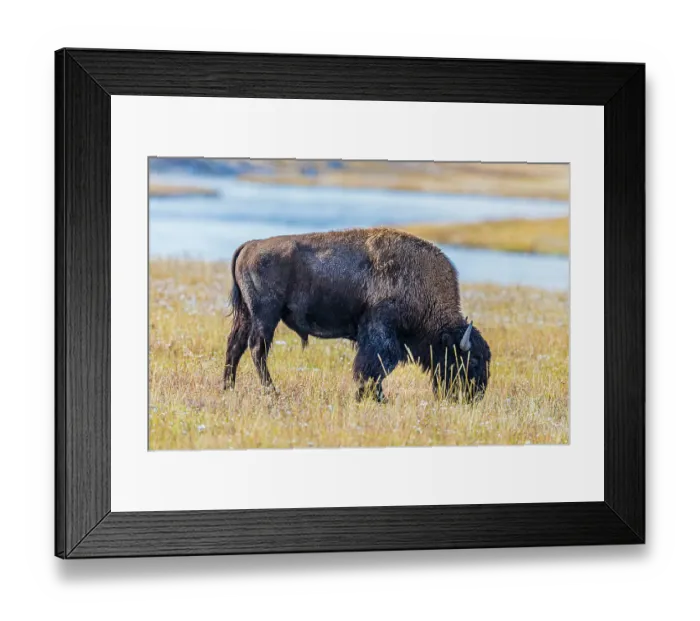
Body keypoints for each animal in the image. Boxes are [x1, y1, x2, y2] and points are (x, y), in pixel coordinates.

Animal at [223, 228, 491, 401]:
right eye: (473, 360)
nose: (476, 395)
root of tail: (251, 245)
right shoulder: (380, 335)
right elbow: (373, 368)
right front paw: (371, 397)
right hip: (266, 315)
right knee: (257, 349)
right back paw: (272, 392)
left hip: (247, 315)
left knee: (235, 346)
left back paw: (228, 388)